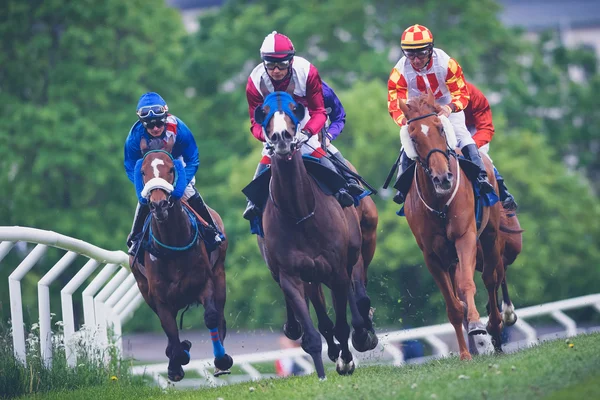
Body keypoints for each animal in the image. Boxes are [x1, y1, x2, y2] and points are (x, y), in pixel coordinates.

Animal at [130, 137, 233, 382]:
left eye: (170, 169)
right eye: (143, 171)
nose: (158, 204)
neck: (172, 244)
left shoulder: (204, 282)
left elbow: (211, 317)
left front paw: (221, 360)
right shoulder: (159, 297)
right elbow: (169, 329)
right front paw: (176, 363)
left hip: (220, 274)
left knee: (220, 316)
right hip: (143, 288)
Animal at [252, 92, 376, 380]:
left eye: (295, 108)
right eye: (263, 113)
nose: (282, 138)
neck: (300, 212)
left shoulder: (338, 268)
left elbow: (345, 319)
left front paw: (347, 358)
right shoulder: (292, 274)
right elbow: (313, 332)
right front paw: (323, 371)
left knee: (355, 294)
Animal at [398, 92, 506, 358]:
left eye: (440, 128)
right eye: (413, 136)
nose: (443, 178)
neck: (440, 202)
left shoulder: (464, 237)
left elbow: (468, 285)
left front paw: (478, 327)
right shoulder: (431, 255)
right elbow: (453, 305)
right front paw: (465, 354)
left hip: (490, 235)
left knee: (490, 278)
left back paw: (494, 328)